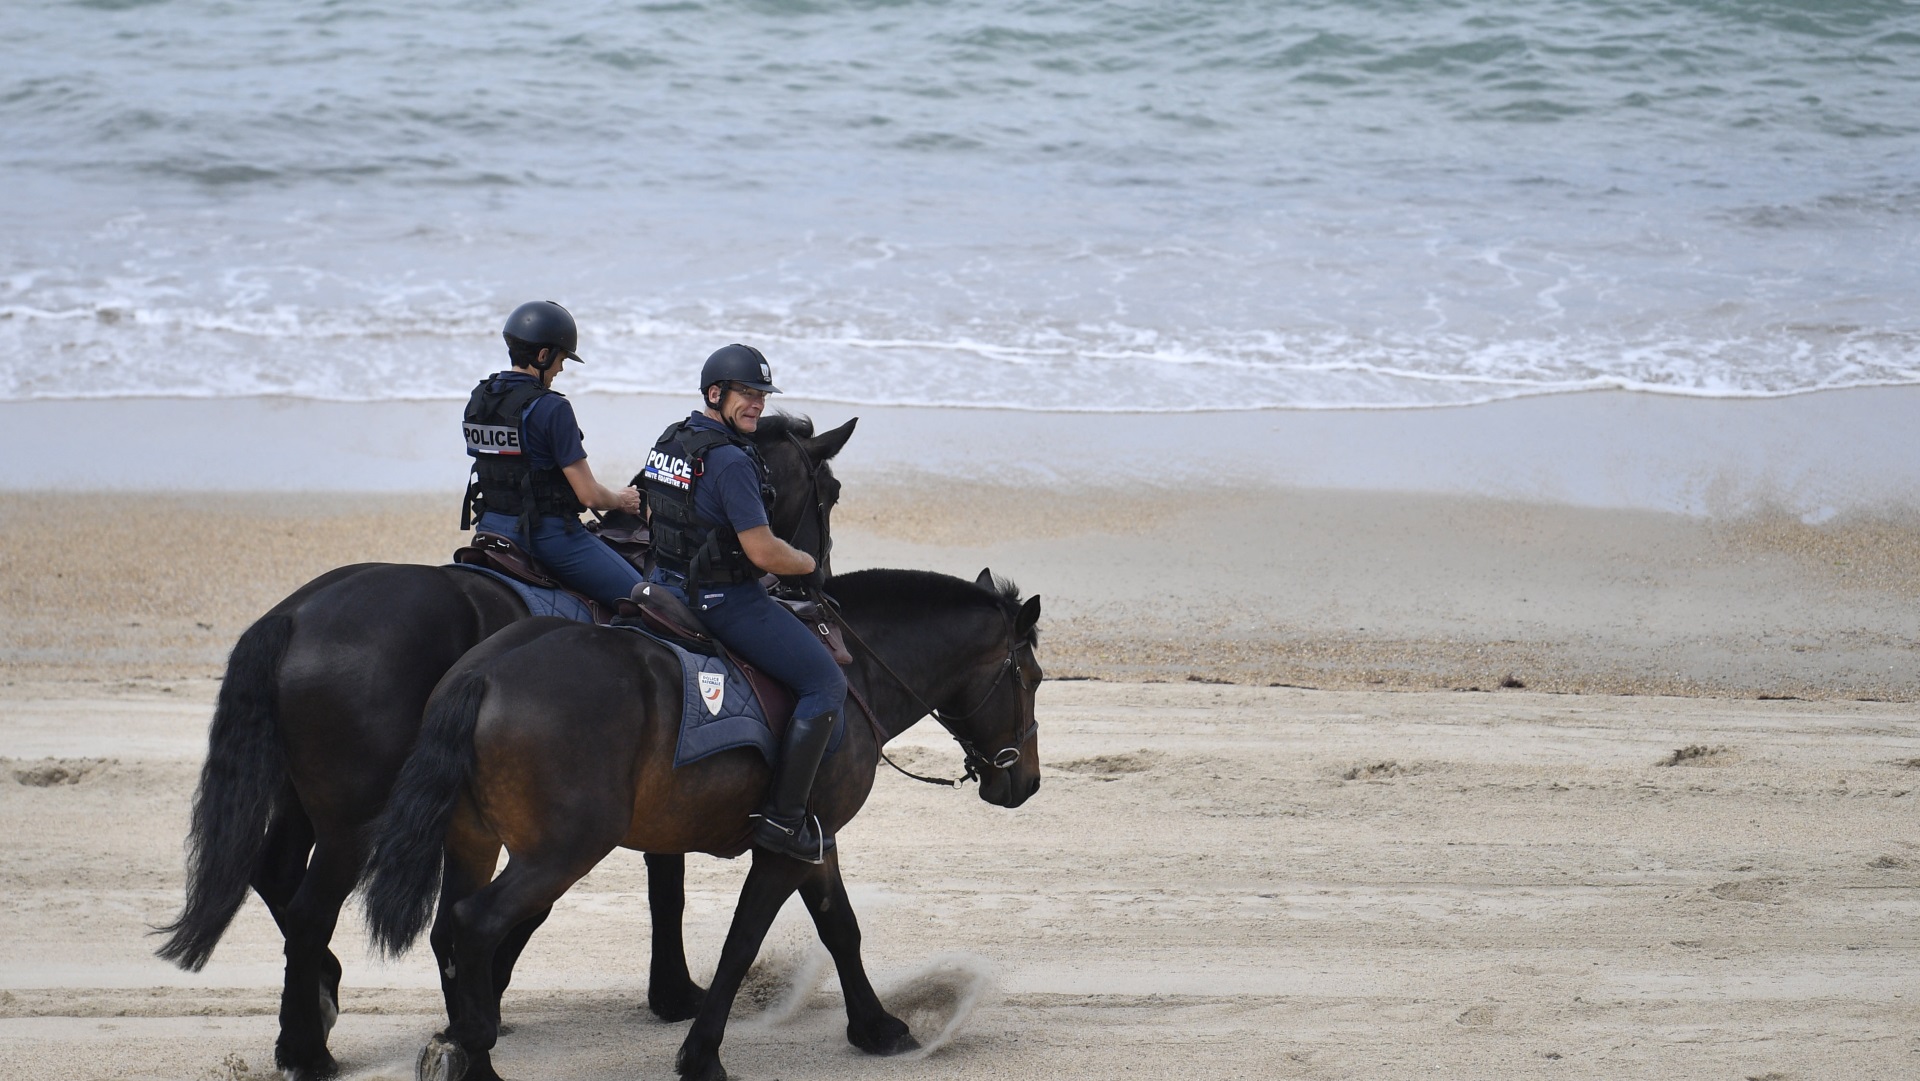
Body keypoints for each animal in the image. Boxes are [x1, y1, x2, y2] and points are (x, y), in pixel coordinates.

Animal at [153, 414, 860, 1081]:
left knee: (274, 874)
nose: (815, 584)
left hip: (311, 800)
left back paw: (313, 1008)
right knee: (306, 909)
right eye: (828, 492)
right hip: (353, 820)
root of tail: (296, 613)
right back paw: (311, 1047)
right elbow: (645, 891)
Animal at [364, 568, 1044, 1081]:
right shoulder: (784, 851)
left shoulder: (815, 842)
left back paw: (462, 1045)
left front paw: (876, 1028)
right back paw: (476, 1048)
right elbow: (742, 942)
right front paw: (701, 1055)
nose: (1027, 782)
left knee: (447, 932)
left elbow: (840, 929)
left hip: (473, 843)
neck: (853, 676)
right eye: (1032, 679)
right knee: (475, 923)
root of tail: (483, 672)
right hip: (561, 853)